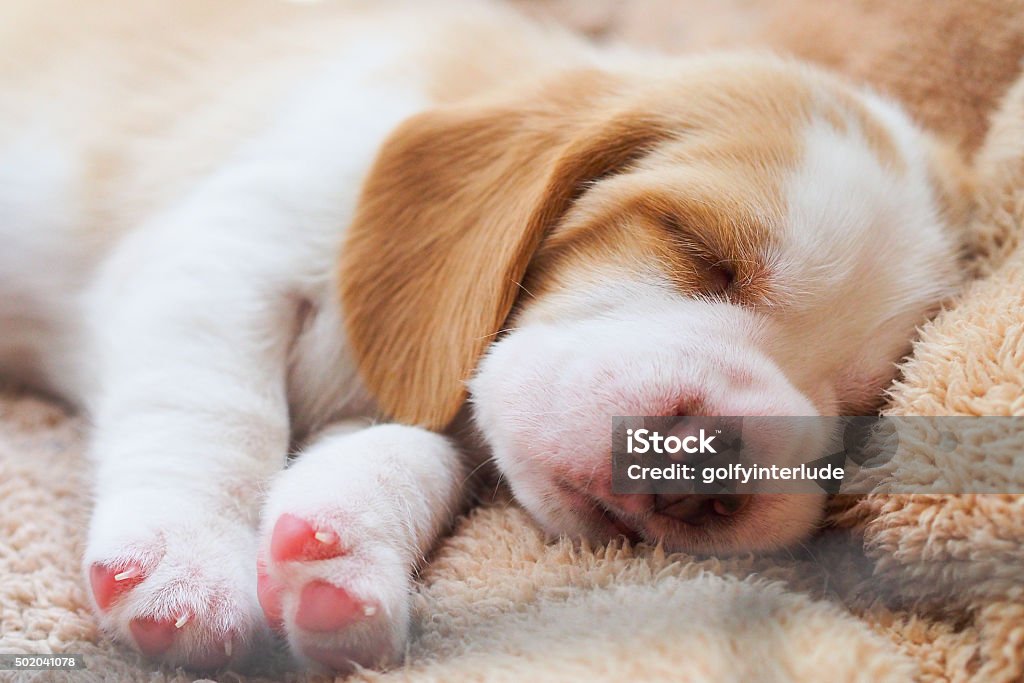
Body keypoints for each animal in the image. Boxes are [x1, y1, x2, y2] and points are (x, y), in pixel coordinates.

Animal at [0, 0, 970, 671]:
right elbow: (219, 414)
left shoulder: (423, 412)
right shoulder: (221, 253)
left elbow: (407, 452)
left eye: (853, 415)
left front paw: (344, 558)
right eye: (698, 248)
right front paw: (190, 562)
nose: (704, 468)